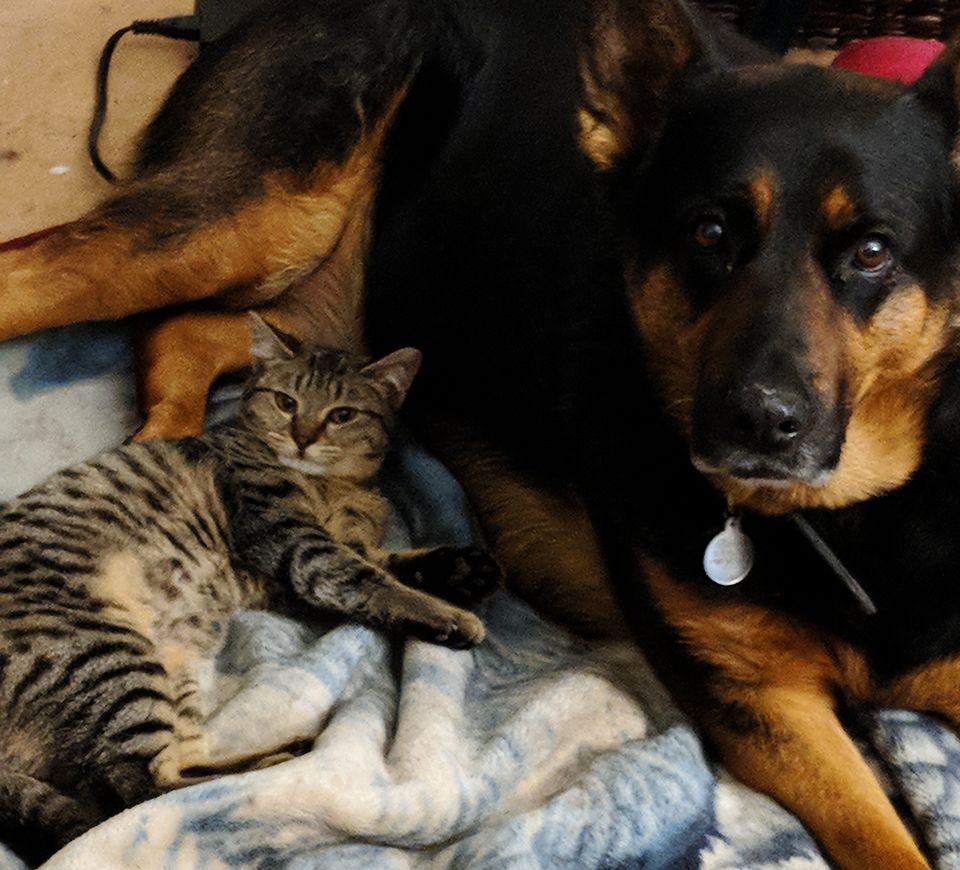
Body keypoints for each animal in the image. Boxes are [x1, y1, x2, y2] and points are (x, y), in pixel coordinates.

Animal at [0, 316, 498, 868]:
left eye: (342, 414)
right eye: (285, 402)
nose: (302, 438)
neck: (332, 485)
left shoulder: (322, 558)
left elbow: (387, 562)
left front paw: (458, 568)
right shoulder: (288, 538)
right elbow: (363, 577)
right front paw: (446, 615)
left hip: (177, 667)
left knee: (173, 767)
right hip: (109, 657)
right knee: (139, 790)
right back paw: (283, 763)